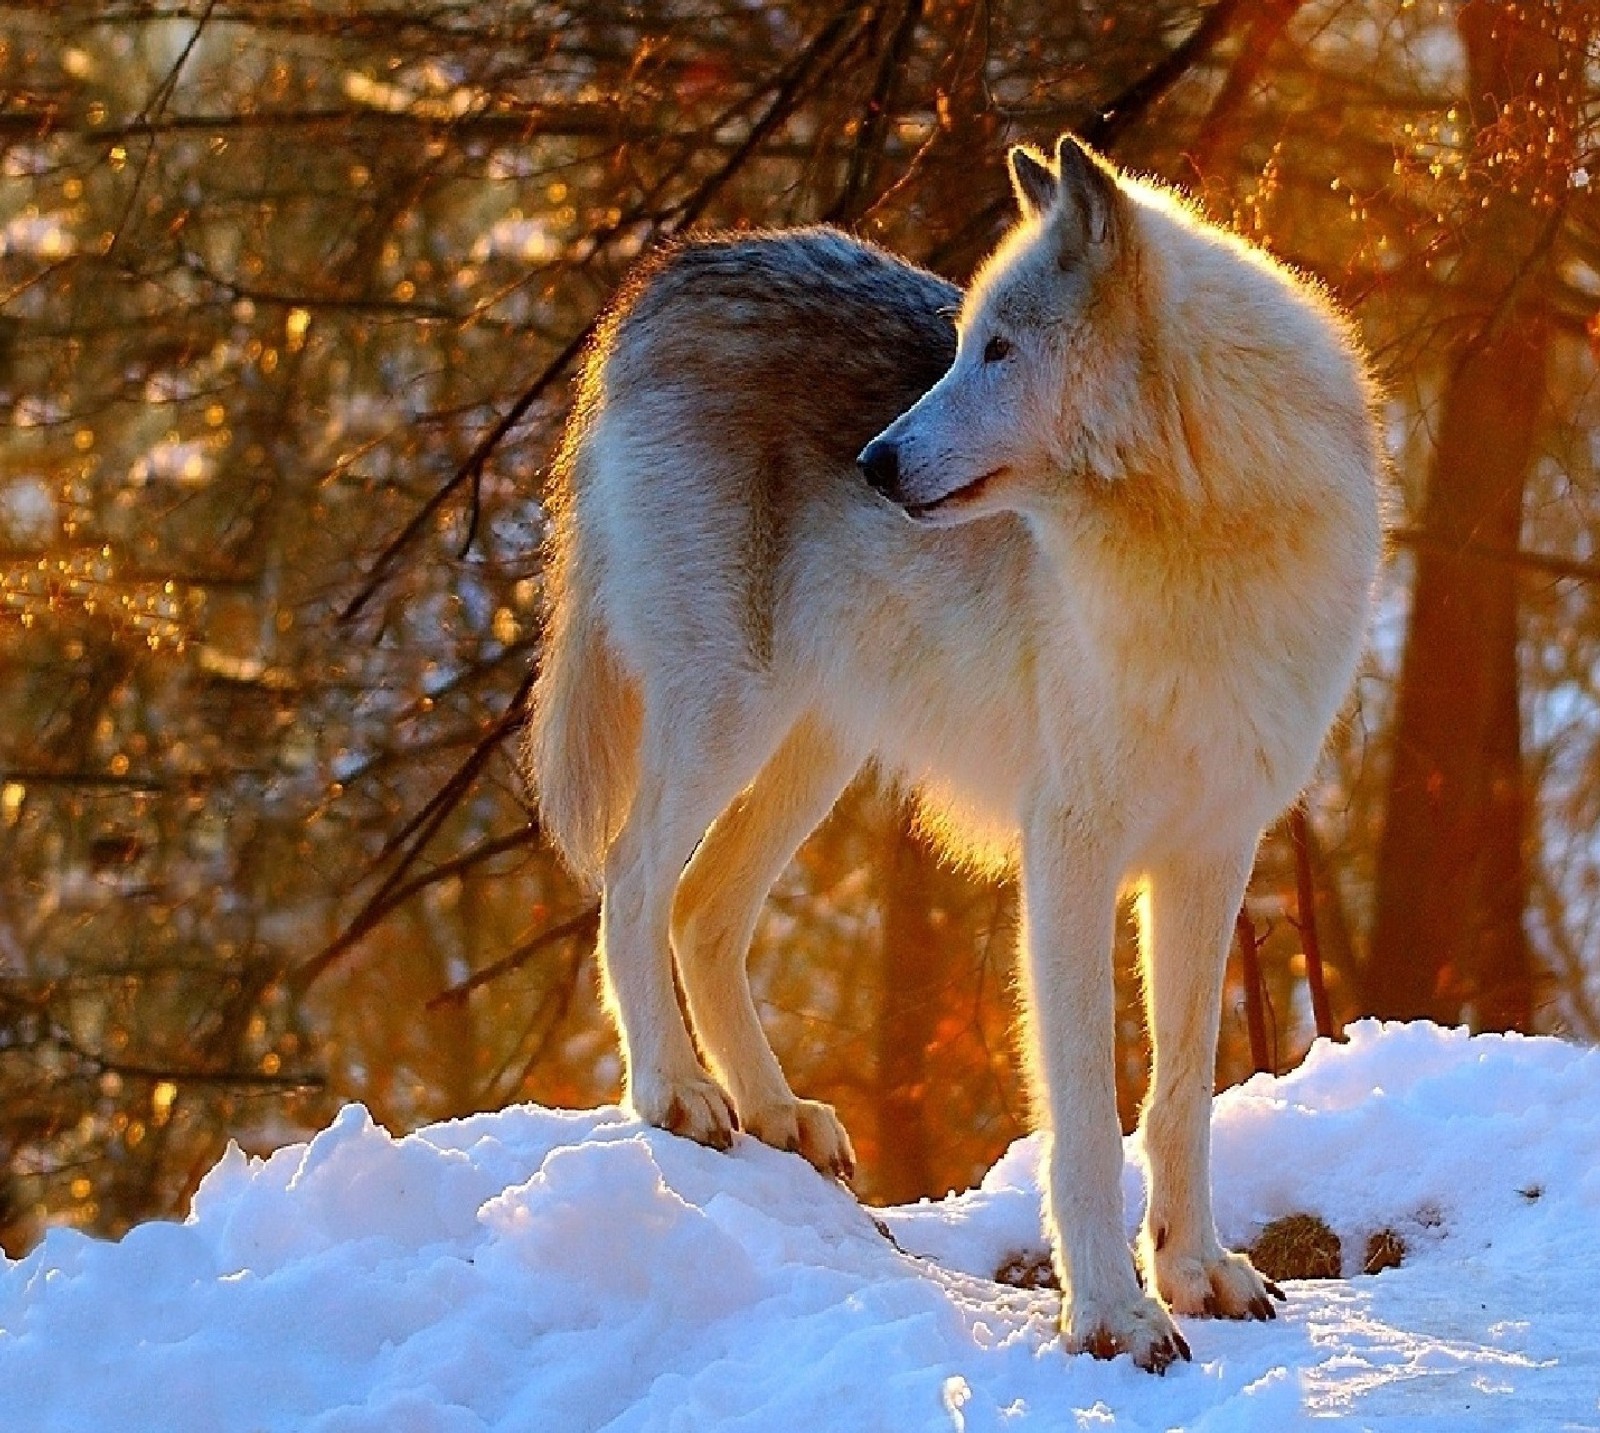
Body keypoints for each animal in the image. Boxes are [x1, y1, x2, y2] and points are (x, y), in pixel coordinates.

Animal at [521, 137, 1376, 1375]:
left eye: (1000, 350)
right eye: (963, 341)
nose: (873, 460)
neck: (1200, 541)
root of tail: (669, 275)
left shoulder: (1211, 854)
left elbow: (1181, 1094)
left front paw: (1197, 1274)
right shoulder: (1069, 852)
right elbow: (1084, 1113)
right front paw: (1113, 1315)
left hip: (812, 747)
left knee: (700, 910)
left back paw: (775, 1112)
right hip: (727, 714)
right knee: (633, 884)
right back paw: (674, 1093)